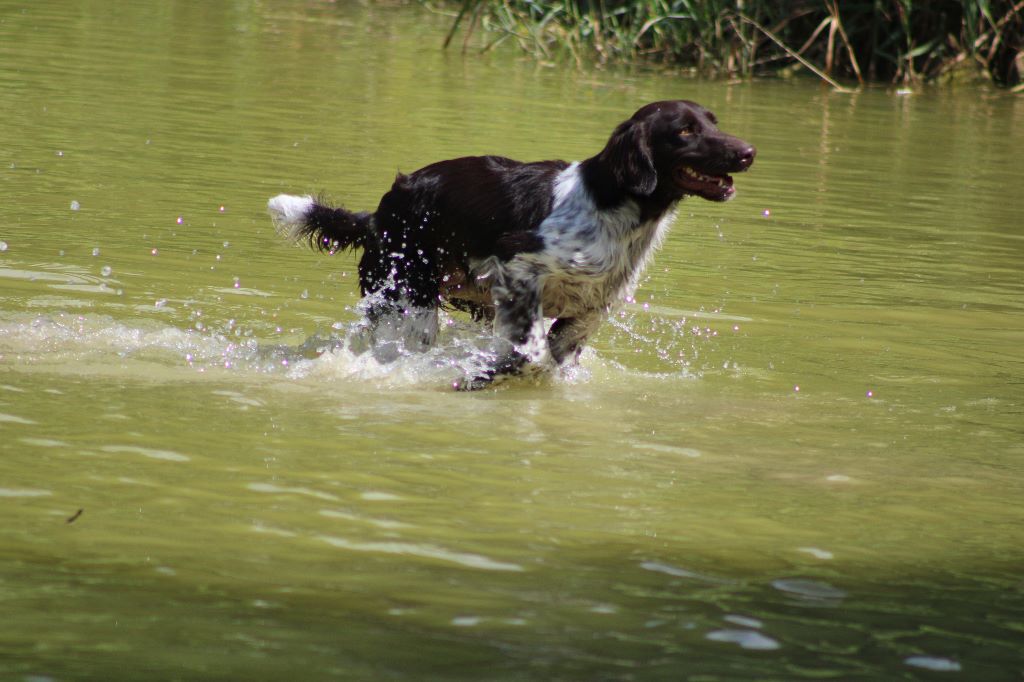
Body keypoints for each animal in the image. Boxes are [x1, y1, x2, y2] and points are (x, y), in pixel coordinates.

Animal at [268, 100, 757, 387]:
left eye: (713, 123)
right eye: (684, 131)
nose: (748, 152)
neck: (613, 205)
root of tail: (379, 213)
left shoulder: (590, 308)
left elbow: (554, 355)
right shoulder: (517, 262)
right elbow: (530, 350)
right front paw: (482, 375)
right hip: (410, 298)